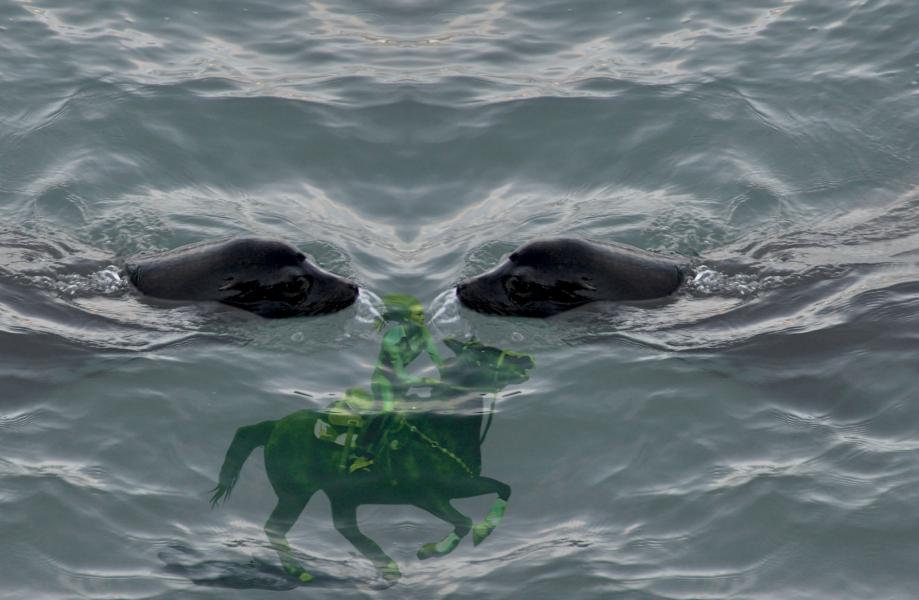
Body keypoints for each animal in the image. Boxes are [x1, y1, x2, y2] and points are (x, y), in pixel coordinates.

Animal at [210, 338, 535, 583]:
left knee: (345, 528)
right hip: (295, 494)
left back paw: (387, 566)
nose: (527, 361)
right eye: (482, 355)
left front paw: (485, 530)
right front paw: (429, 550)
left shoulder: (461, 485)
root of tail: (275, 425)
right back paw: (298, 571)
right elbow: (463, 522)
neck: (437, 428)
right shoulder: (427, 495)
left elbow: (503, 489)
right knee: (276, 529)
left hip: (342, 495)